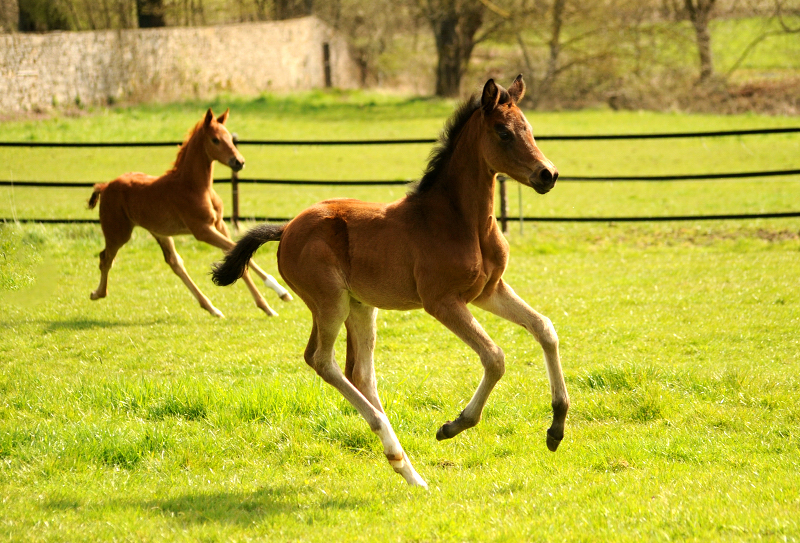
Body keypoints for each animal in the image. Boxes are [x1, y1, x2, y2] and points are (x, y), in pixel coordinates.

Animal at [86, 108, 290, 316]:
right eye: (215, 140)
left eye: (230, 139)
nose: (238, 162)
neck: (195, 186)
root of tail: (105, 186)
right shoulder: (202, 230)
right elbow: (236, 252)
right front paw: (279, 292)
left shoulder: (219, 224)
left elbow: (235, 253)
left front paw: (269, 303)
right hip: (118, 232)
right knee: (105, 258)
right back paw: (97, 293)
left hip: (160, 232)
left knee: (175, 263)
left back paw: (211, 308)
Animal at [212, 74, 568, 486]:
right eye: (503, 132)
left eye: (529, 128)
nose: (548, 174)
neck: (460, 221)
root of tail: (286, 230)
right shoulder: (442, 301)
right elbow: (494, 357)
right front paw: (454, 425)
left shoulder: (488, 291)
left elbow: (544, 328)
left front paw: (557, 427)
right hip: (330, 302)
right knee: (321, 360)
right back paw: (394, 446)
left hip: (362, 306)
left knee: (360, 373)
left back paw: (408, 470)